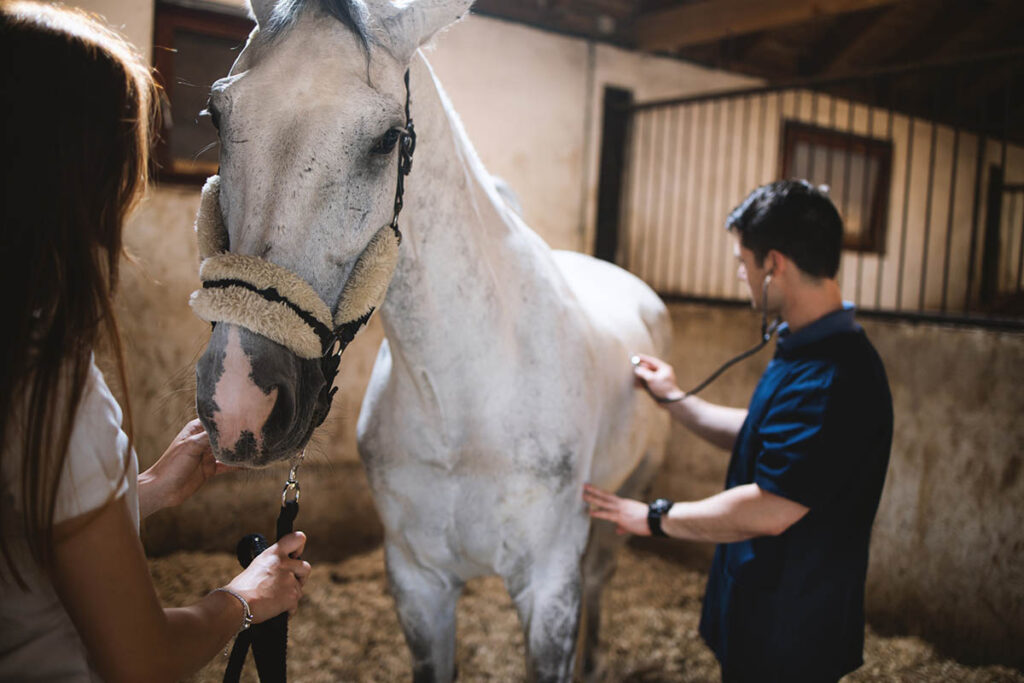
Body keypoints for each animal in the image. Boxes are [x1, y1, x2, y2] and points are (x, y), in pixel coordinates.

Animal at [191, 0, 671, 679]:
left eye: (388, 138)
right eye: (217, 113)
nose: (239, 402)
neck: (462, 394)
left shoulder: (548, 587)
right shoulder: (419, 583)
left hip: (622, 502)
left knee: (601, 575)